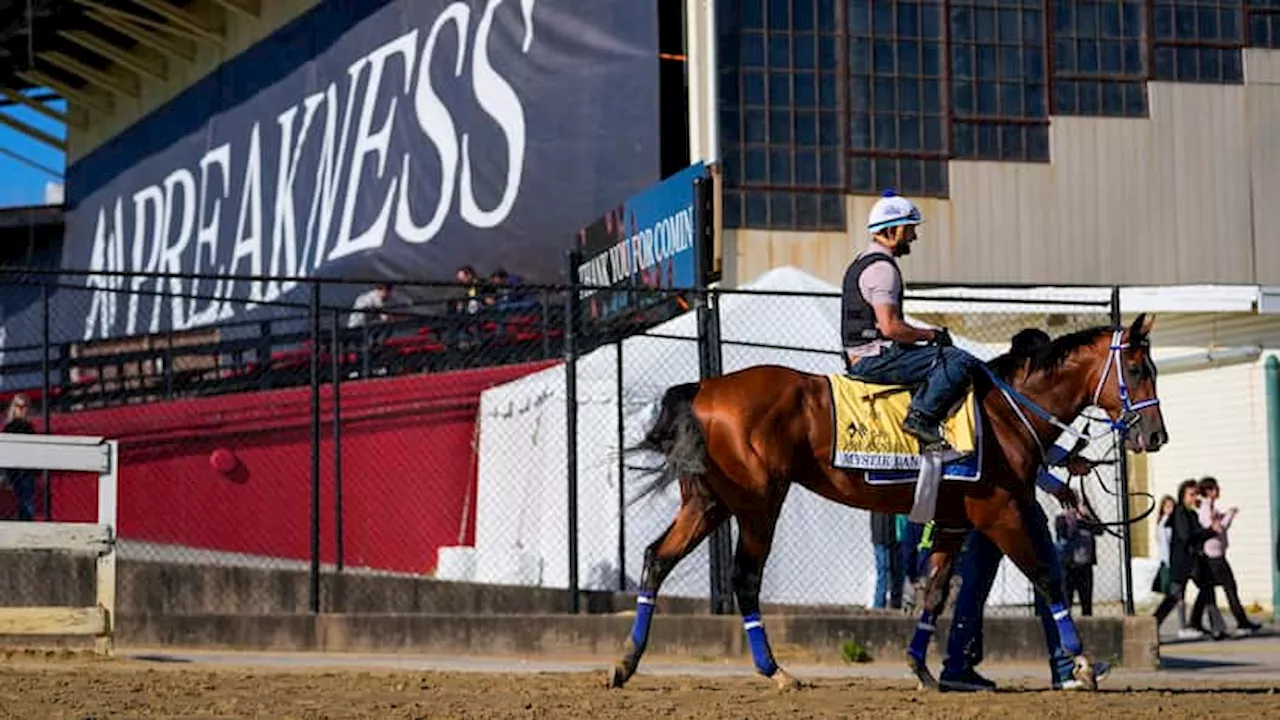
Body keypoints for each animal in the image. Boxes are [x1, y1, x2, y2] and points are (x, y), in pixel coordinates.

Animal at [609, 311, 1172, 686]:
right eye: (1140, 370)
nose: (1156, 435)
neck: (1005, 411)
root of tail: (704, 389)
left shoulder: (953, 522)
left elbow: (935, 593)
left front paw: (921, 667)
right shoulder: (1002, 513)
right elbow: (1046, 577)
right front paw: (1081, 662)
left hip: (708, 503)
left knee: (656, 559)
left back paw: (627, 660)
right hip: (756, 506)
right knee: (744, 579)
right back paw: (774, 670)